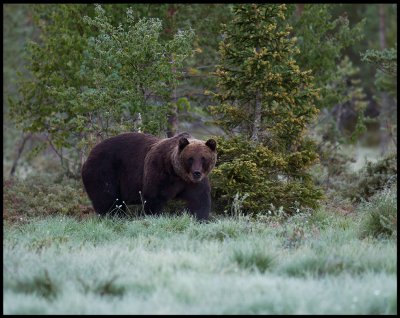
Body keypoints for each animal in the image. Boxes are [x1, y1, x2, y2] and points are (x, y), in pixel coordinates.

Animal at [81, 132, 217, 221]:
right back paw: (114, 217)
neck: (178, 173)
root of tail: (89, 155)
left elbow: (199, 200)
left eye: (203, 158)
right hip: (104, 171)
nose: (196, 172)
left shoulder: (193, 183)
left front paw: (199, 218)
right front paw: (154, 216)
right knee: (108, 199)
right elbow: (153, 197)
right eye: (190, 158)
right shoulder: (159, 170)